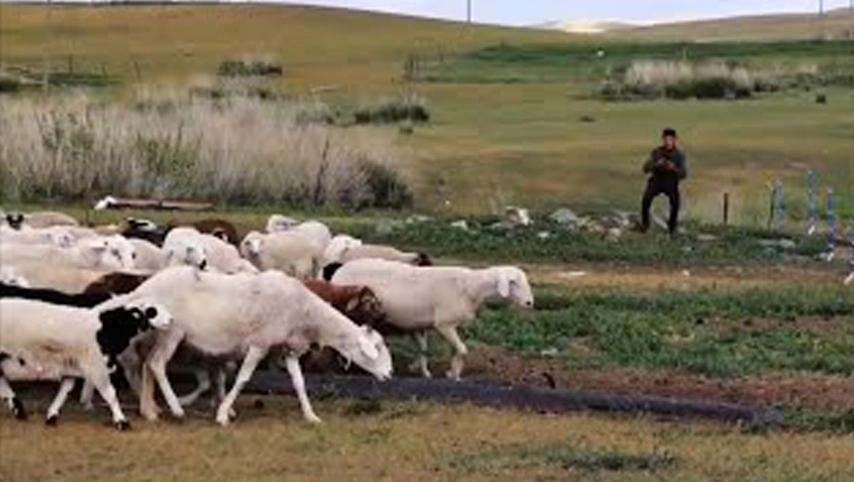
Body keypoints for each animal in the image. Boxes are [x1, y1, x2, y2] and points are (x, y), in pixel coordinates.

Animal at [0, 298, 172, 430]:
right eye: (152, 311)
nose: (171, 320)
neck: (106, 329)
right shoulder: (97, 367)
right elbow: (110, 394)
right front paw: (122, 421)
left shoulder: (71, 366)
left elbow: (65, 391)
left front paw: (52, 415)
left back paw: (18, 409)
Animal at [103, 268, 394, 426]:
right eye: (377, 350)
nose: (390, 375)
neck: (305, 314)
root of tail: (144, 287)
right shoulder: (260, 344)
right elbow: (242, 378)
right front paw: (222, 414)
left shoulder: (287, 349)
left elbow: (299, 383)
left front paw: (311, 416)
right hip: (171, 331)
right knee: (156, 364)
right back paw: (176, 409)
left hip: (158, 334)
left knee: (147, 365)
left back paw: (150, 411)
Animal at [330, 260, 536, 380]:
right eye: (514, 282)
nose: (530, 303)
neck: (470, 287)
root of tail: (338, 272)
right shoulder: (444, 324)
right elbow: (462, 349)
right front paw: (454, 375)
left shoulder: (432, 325)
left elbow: (442, 350)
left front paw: (444, 372)